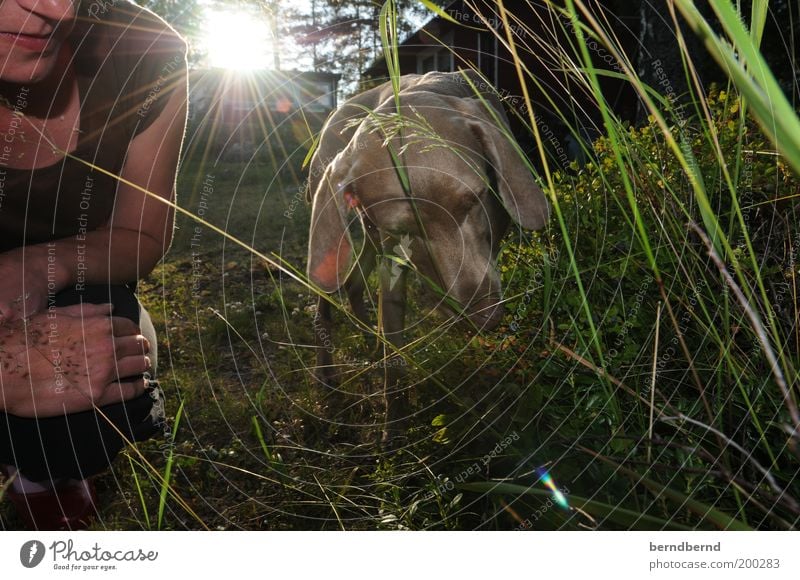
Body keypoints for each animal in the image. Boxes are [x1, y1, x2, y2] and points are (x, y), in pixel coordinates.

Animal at [306, 69, 552, 440]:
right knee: (329, 299)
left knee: (353, 287)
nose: (488, 318)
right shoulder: (392, 257)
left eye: (475, 198)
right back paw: (328, 376)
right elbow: (394, 355)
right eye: (405, 229)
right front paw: (393, 432)